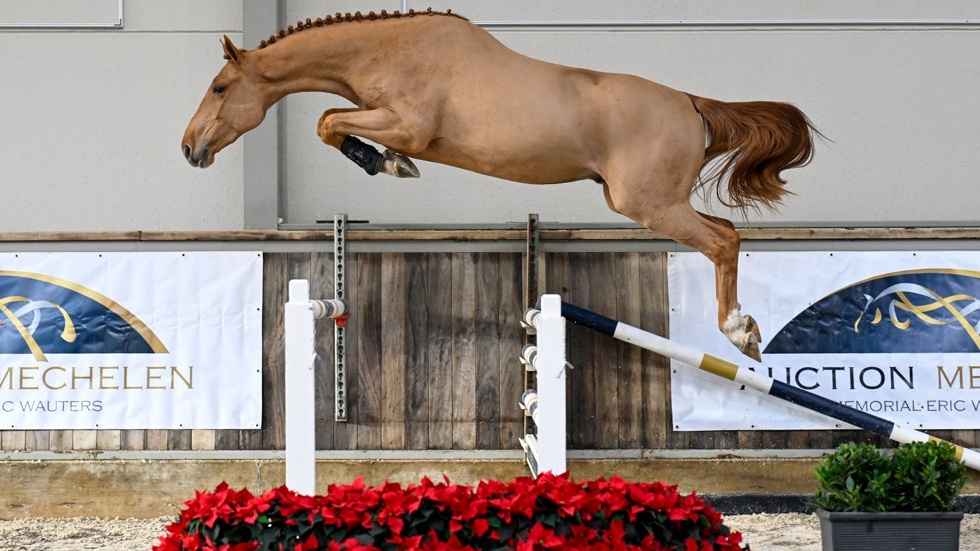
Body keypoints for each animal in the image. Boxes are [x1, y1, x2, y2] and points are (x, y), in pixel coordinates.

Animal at [178, 10, 820, 362]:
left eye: (218, 87)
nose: (189, 149)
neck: (389, 50)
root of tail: (691, 104)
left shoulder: (409, 124)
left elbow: (329, 121)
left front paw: (389, 164)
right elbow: (330, 121)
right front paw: (388, 162)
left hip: (648, 203)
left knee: (723, 240)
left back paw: (739, 332)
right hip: (649, 201)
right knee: (725, 231)